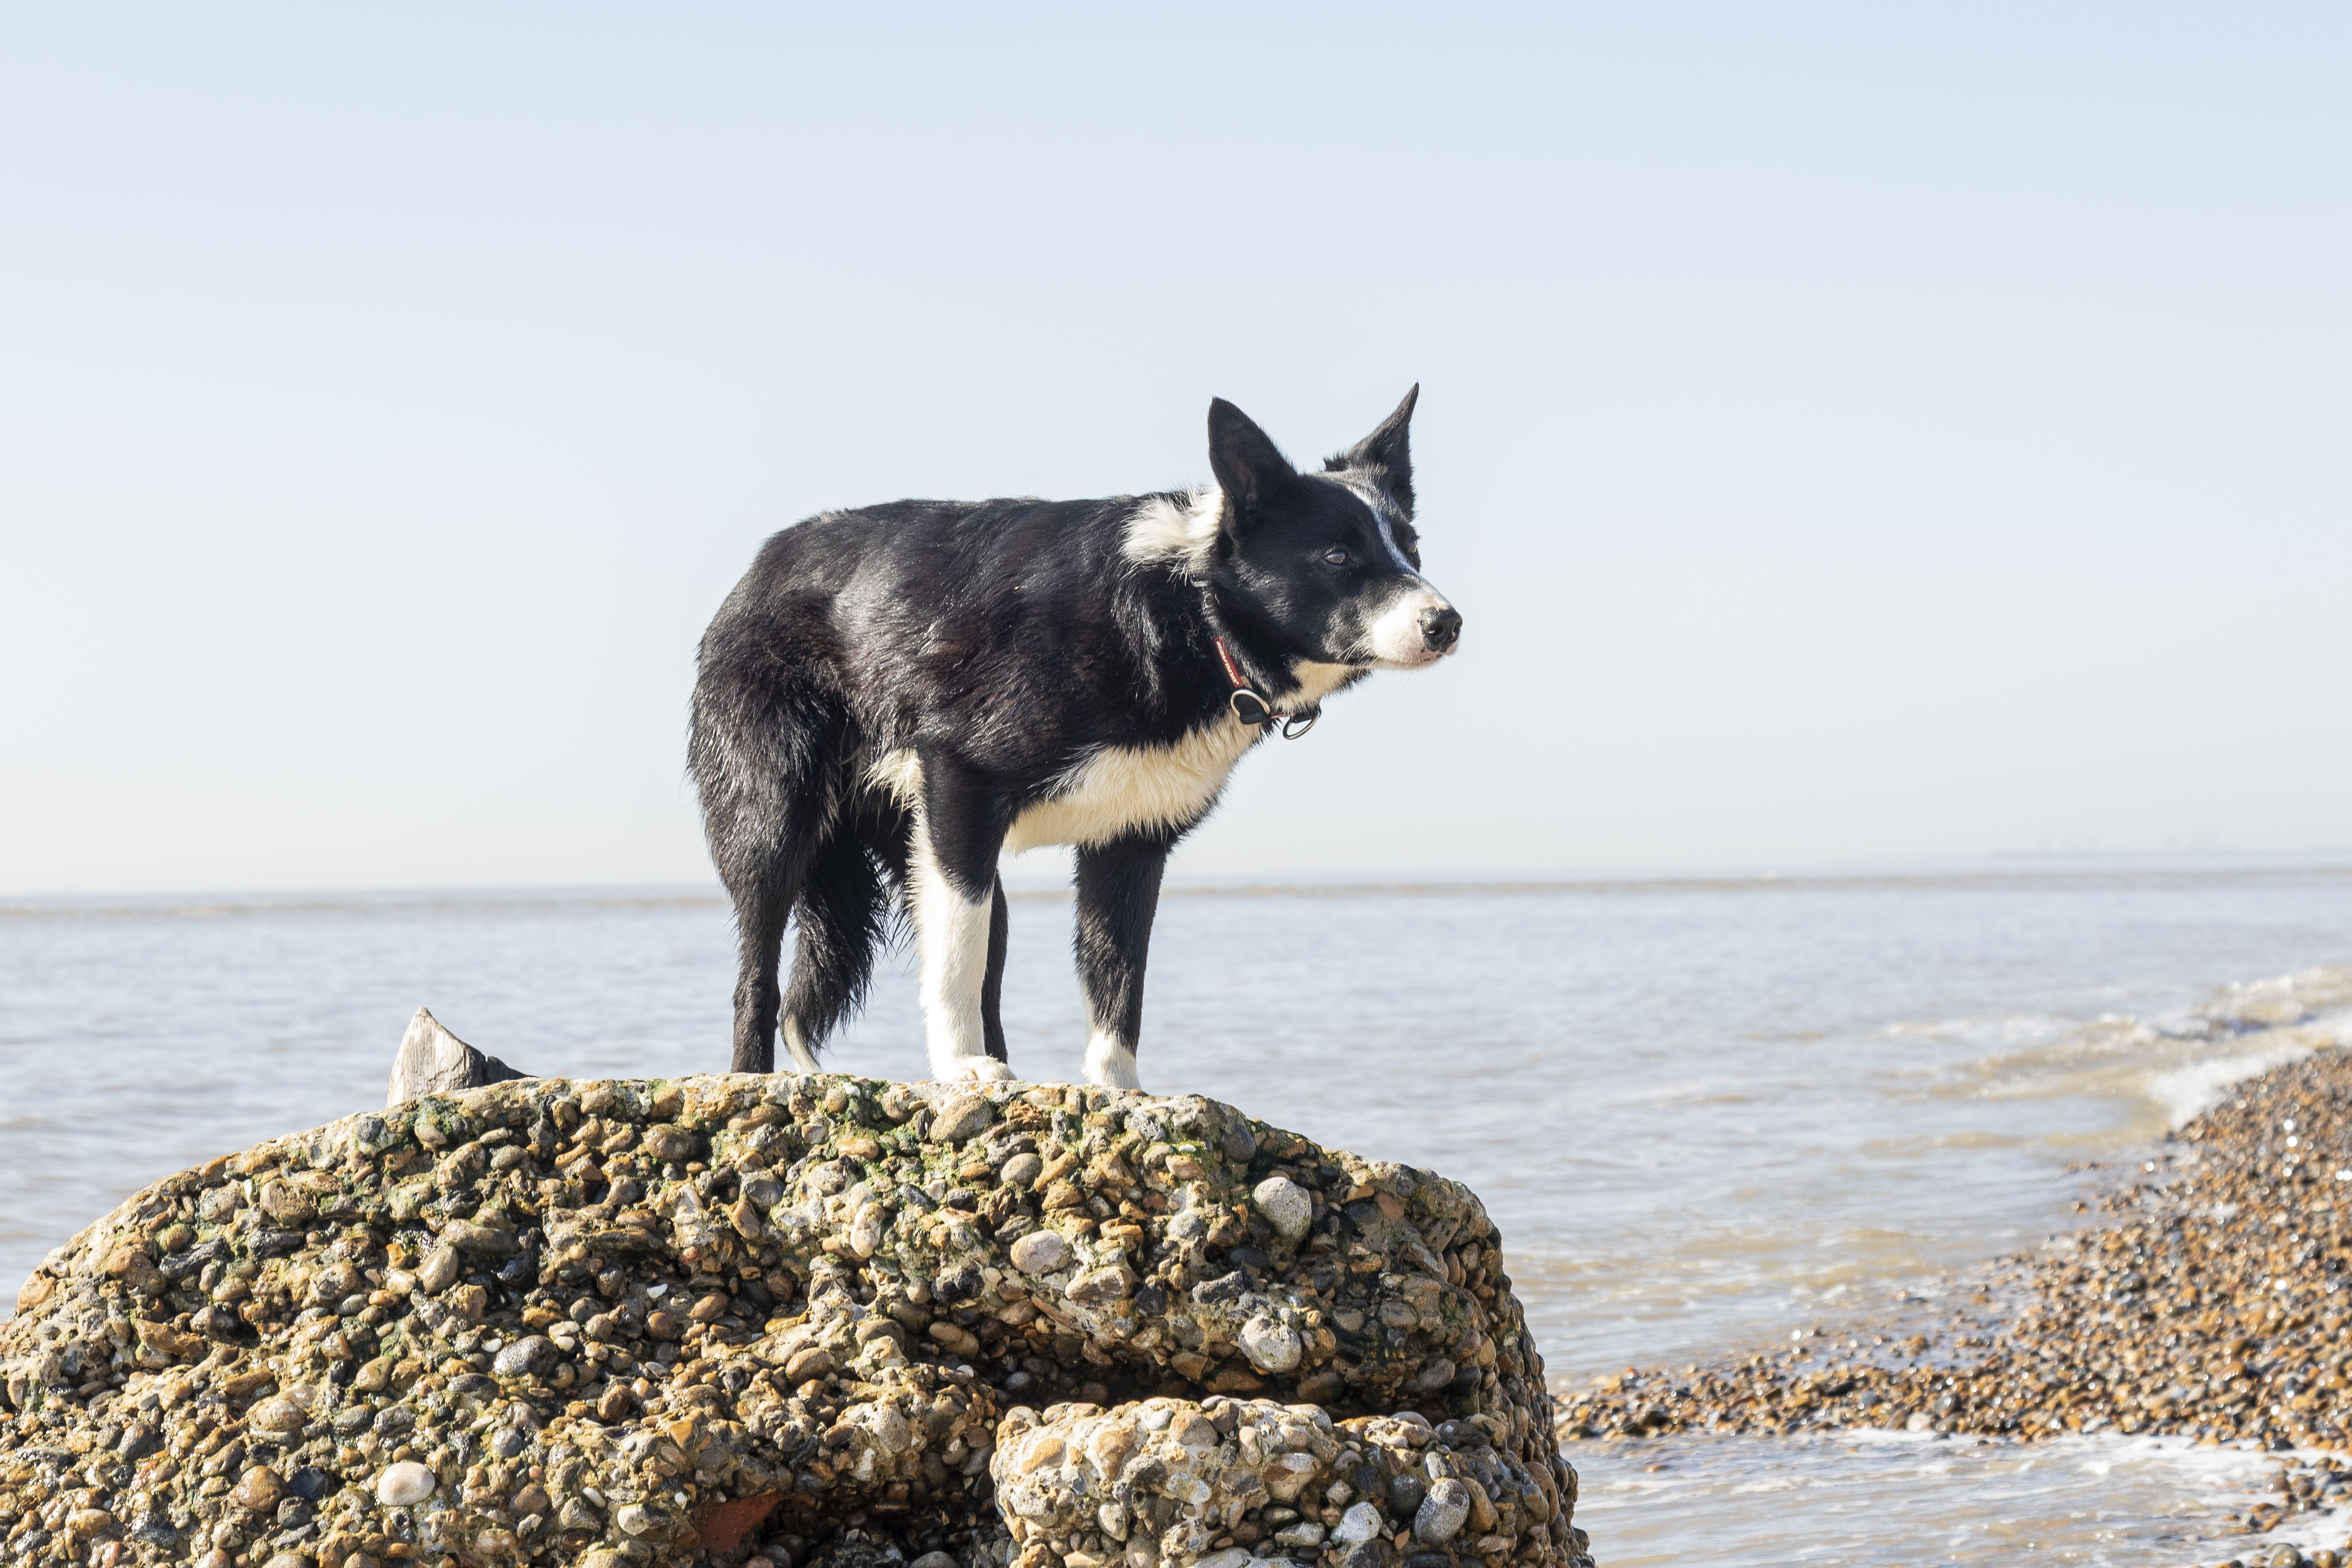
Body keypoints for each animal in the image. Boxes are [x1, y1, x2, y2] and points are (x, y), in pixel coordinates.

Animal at [687, 385, 1449, 1086]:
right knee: (759, 980)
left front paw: (1122, 1095)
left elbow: (1118, 985)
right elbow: (956, 960)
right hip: (780, 820)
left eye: (1412, 550)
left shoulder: (1130, 843)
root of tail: (762, 565)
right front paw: (959, 1068)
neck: (1191, 612)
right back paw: (753, 1077)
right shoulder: (960, 778)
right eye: (1338, 556)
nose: (1447, 622)